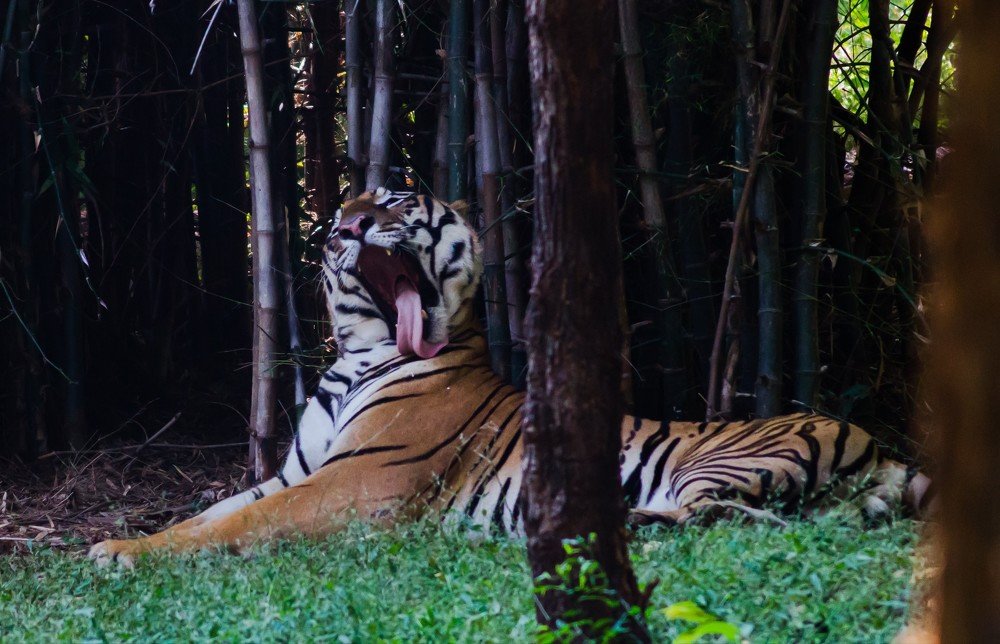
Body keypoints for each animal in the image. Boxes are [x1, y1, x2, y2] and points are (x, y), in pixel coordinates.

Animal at [88, 189, 931, 566]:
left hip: (723, 459)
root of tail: (878, 444)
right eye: (347, 207)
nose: (344, 226)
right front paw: (121, 542)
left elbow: (238, 526)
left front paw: (119, 555)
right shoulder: (294, 471)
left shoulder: (358, 484)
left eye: (394, 201)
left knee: (733, 520)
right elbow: (213, 512)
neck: (358, 353)